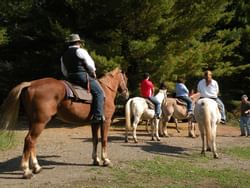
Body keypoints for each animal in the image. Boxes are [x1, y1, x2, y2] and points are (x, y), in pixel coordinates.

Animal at [0, 67, 129, 178]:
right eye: (125, 78)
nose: (127, 93)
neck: (106, 90)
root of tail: (31, 84)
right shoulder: (106, 121)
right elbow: (104, 140)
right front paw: (106, 160)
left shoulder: (95, 123)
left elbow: (95, 140)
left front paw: (96, 160)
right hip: (40, 122)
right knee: (30, 140)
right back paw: (26, 171)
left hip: (32, 122)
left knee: (32, 142)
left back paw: (36, 167)